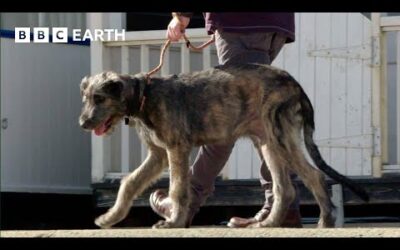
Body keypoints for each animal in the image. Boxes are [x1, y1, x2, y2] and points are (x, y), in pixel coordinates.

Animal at [78, 63, 368, 229]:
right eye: (86, 98)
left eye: (100, 98)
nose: (82, 123)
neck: (144, 96)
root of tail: (295, 85)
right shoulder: (158, 154)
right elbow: (129, 183)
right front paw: (110, 218)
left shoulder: (176, 148)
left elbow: (177, 189)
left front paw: (174, 222)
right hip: (267, 143)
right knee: (284, 189)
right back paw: (270, 223)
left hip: (280, 137)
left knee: (314, 176)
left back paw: (325, 220)